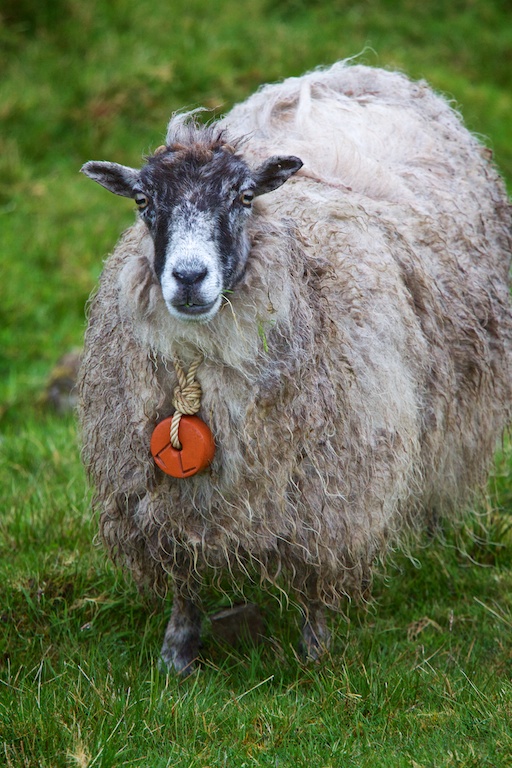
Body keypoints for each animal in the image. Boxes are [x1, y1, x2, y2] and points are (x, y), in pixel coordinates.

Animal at [79, 61, 512, 672]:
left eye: (242, 196)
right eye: (142, 201)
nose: (188, 277)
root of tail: (357, 70)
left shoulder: (331, 488)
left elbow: (314, 580)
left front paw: (316, 656)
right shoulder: (162, 500)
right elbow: (183, 578)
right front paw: (176, 654)